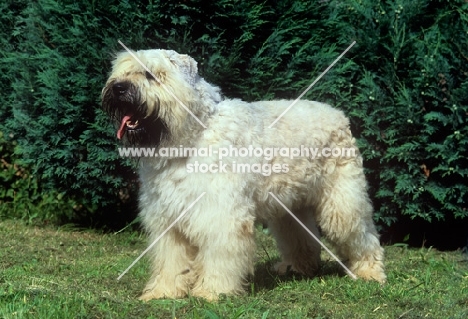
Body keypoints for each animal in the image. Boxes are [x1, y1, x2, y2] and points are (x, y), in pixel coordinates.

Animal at [101, 48, 384, 302]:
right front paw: (164, 292)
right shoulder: (168, 218)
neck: (192, 135)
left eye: (150, 74)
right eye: (122, 70)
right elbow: (171, 261)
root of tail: (339, 115)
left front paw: (212, 292)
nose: (118, 88)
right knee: (301, 237)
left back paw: (370, 271)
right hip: (289, 207)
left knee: (363, 236)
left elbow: (219, 255)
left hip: (342, 204)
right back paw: (298, 267)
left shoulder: (220, 215)